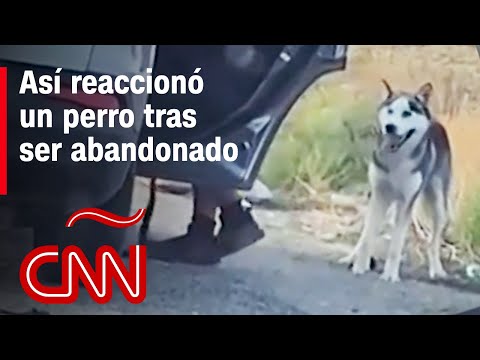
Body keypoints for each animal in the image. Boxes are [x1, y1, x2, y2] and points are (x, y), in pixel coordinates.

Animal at [340, 80, 452, 282]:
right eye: (390, 111)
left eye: (407, 113)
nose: (390, 127)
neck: (396, 160)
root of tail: (436, 121)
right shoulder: (378, 195)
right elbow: (367, 238)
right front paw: (359, 266)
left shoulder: (407, 202)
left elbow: (396, 244)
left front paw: (390, 275)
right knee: (366, 234)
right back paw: (352, 257)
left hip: (438, 205)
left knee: (433, 241)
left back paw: (436, 269)